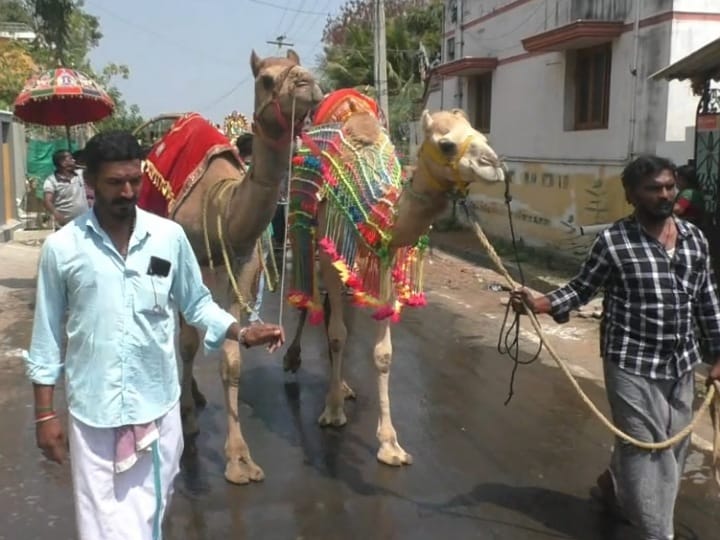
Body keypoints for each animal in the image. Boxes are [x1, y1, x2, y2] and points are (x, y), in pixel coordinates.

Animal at [136, 49, 322, 486]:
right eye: (267, 79)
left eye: (300, 68)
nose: (308, 83)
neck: (220, 207)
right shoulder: (188, 267)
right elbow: (189, 344)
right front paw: (188, 421)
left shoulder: (244, 268)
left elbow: (232, 360)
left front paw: (239, 458)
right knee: (180, 338)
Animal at [284, 90, 504, 466]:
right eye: (446, 144)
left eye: (481, 133)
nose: (493, 164)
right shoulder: (330, 252)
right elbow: (338, 335)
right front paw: (332, 412)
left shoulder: (383, 259)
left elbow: (382, 353)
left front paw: (390, 445)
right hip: (308, 232)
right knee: (313, 302)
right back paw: (295, 360)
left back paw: (343, 385)